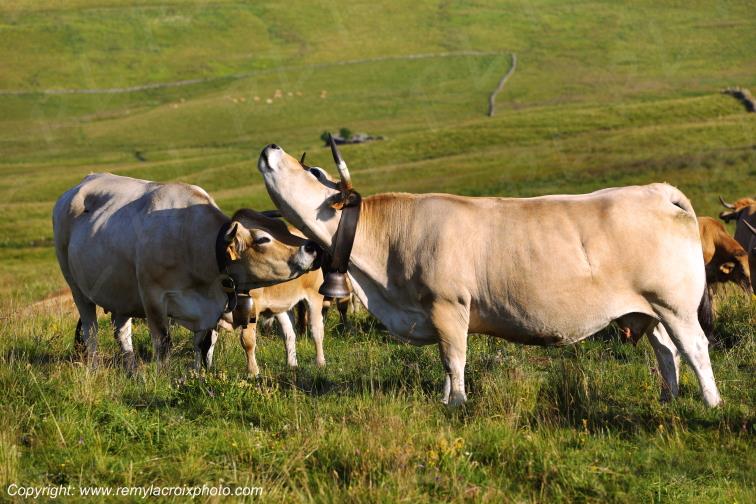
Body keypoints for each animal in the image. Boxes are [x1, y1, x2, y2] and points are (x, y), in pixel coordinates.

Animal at [53, 173, 321, 371]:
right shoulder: (152, 297)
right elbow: (163, 343)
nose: (311, 247)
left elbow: (203, 345)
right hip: (77, 287)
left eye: (280, 227)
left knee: (121, 331)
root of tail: (78, 186)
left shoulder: (208, 309)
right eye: (263, 239)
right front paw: (163, 377)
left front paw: (200, 374)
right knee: (91, 331)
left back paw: (132, 368)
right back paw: (94, 367)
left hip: (122, 293)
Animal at [257, 142, 722, 408]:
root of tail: (656, 190)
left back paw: (712, 404)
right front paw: (447, 399)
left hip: (675, 304)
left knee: (695, 348)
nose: (271, 145)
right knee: (666, 351)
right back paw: (668, 399)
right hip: (649, 310)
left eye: (313, 171)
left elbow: (454, 358)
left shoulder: (448, 304)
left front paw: (458, 404)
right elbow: (446, 362)